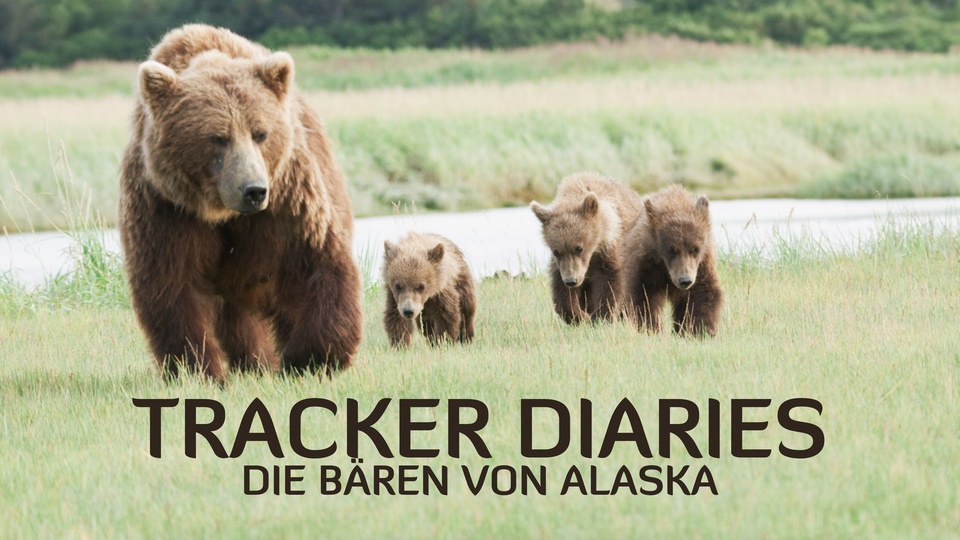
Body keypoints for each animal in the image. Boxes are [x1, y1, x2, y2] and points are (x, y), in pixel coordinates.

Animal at [118, 24, 363, 381]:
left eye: (260, 133)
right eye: (218, 137)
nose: (254, 190)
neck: (222, 211)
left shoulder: (287, 200)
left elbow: (316, 264)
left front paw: (310, 358)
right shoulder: (167, 207)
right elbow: (173, 286)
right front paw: (198, 369)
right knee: (237, 318)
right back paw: (255, 361)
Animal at [529, 172, 644, 323]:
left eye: (579, 248)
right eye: (556, 252)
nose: (571, 281)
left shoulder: (609, 251)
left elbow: (610, 282)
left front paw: (602, 316)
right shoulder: (563, 265)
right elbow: (562, 291)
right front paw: (578, 315)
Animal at [621, 184, 724, 337]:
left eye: (695, 248)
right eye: (671, 249)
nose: (685, 280)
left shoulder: (701, 266)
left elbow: (703, 294)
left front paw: (699, 330)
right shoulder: (647, 266)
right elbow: (644, 297)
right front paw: (653, 328)